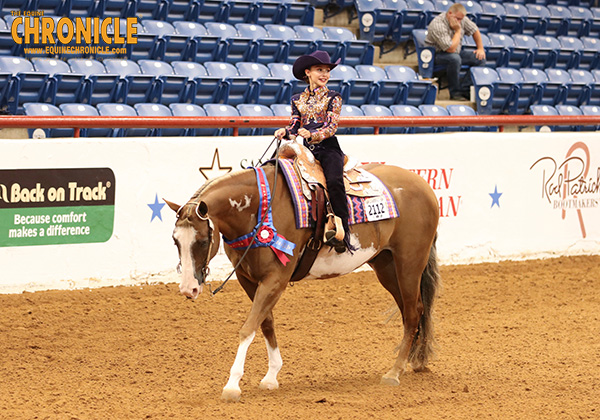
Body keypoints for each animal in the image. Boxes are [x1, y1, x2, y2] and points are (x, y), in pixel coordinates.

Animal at [166, 153, 438, 402]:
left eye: (202, 241)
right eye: (175, 241)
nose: (188, 289)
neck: (260, 208)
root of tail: (423, 185)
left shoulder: (276, 278)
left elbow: (248, 327)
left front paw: (232, 385)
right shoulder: (248, 280)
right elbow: (265, 322)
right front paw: (271, 376)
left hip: (409, 263)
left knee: (412, 313)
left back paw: (394, 372)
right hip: (386, 265)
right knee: (412, 310)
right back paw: (412, 361)